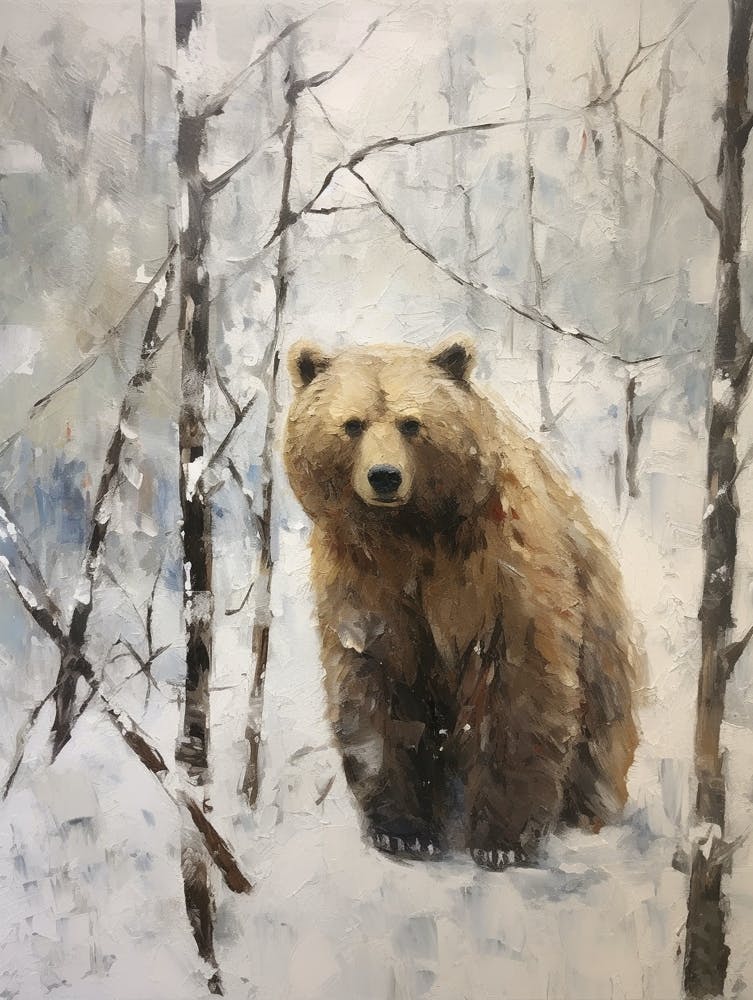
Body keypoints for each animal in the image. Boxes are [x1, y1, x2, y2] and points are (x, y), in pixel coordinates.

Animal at [284, 336, 641, 869]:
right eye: (352, 424)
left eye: (411, 423)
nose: (384, 476)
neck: (411, 534)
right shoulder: (366, 582)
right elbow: (375, 683)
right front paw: (403, 831)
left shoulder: (497, 570)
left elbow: (519, 685)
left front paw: (502, 841)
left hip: (603, 655)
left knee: (597, 741)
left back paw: (583, 811)